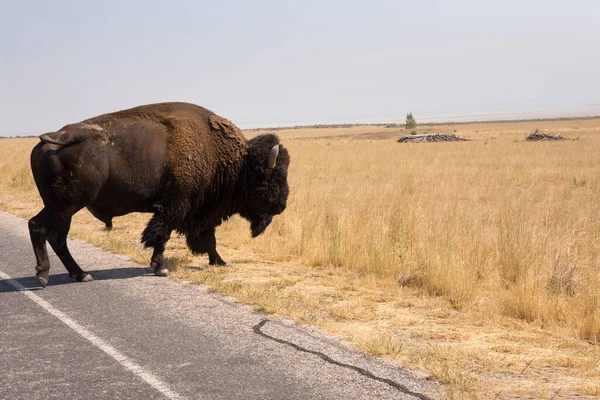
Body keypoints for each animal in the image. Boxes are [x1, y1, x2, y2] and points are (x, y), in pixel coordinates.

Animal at [28, 101, 290, 286]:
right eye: (273, 178)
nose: (282, 206)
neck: (234, 162)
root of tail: (51, 140)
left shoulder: (195, 213)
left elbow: (206, 239)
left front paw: (219, 262)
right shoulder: (175, 207)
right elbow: (161, 236)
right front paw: (161, 268)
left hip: (64, 208)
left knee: (58, 237)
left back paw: (80, 274)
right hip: (66, 205)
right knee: (38, 226)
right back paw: (44, 276)